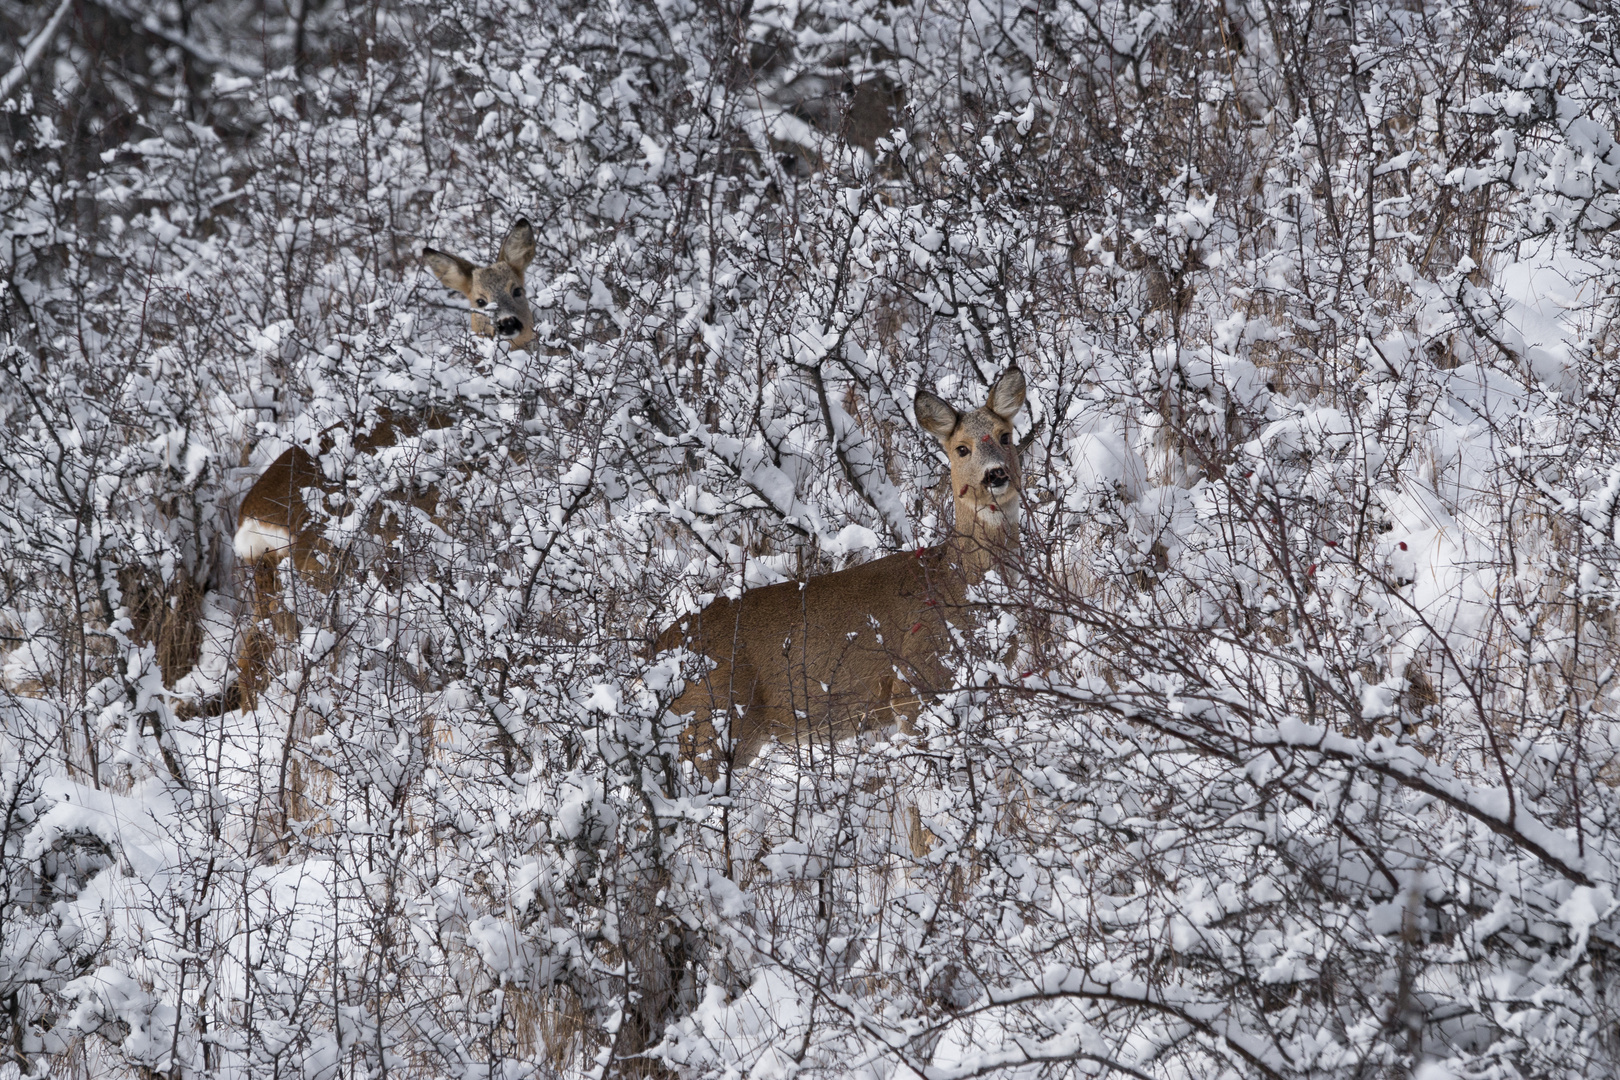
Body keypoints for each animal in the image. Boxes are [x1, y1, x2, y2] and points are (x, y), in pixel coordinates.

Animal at [651, 369, 1017, 777]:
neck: (958, 581)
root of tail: (653, 656)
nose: (995, 474)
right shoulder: (917, 680)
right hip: (709, 723)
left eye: (1005, 435)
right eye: (961, 448)